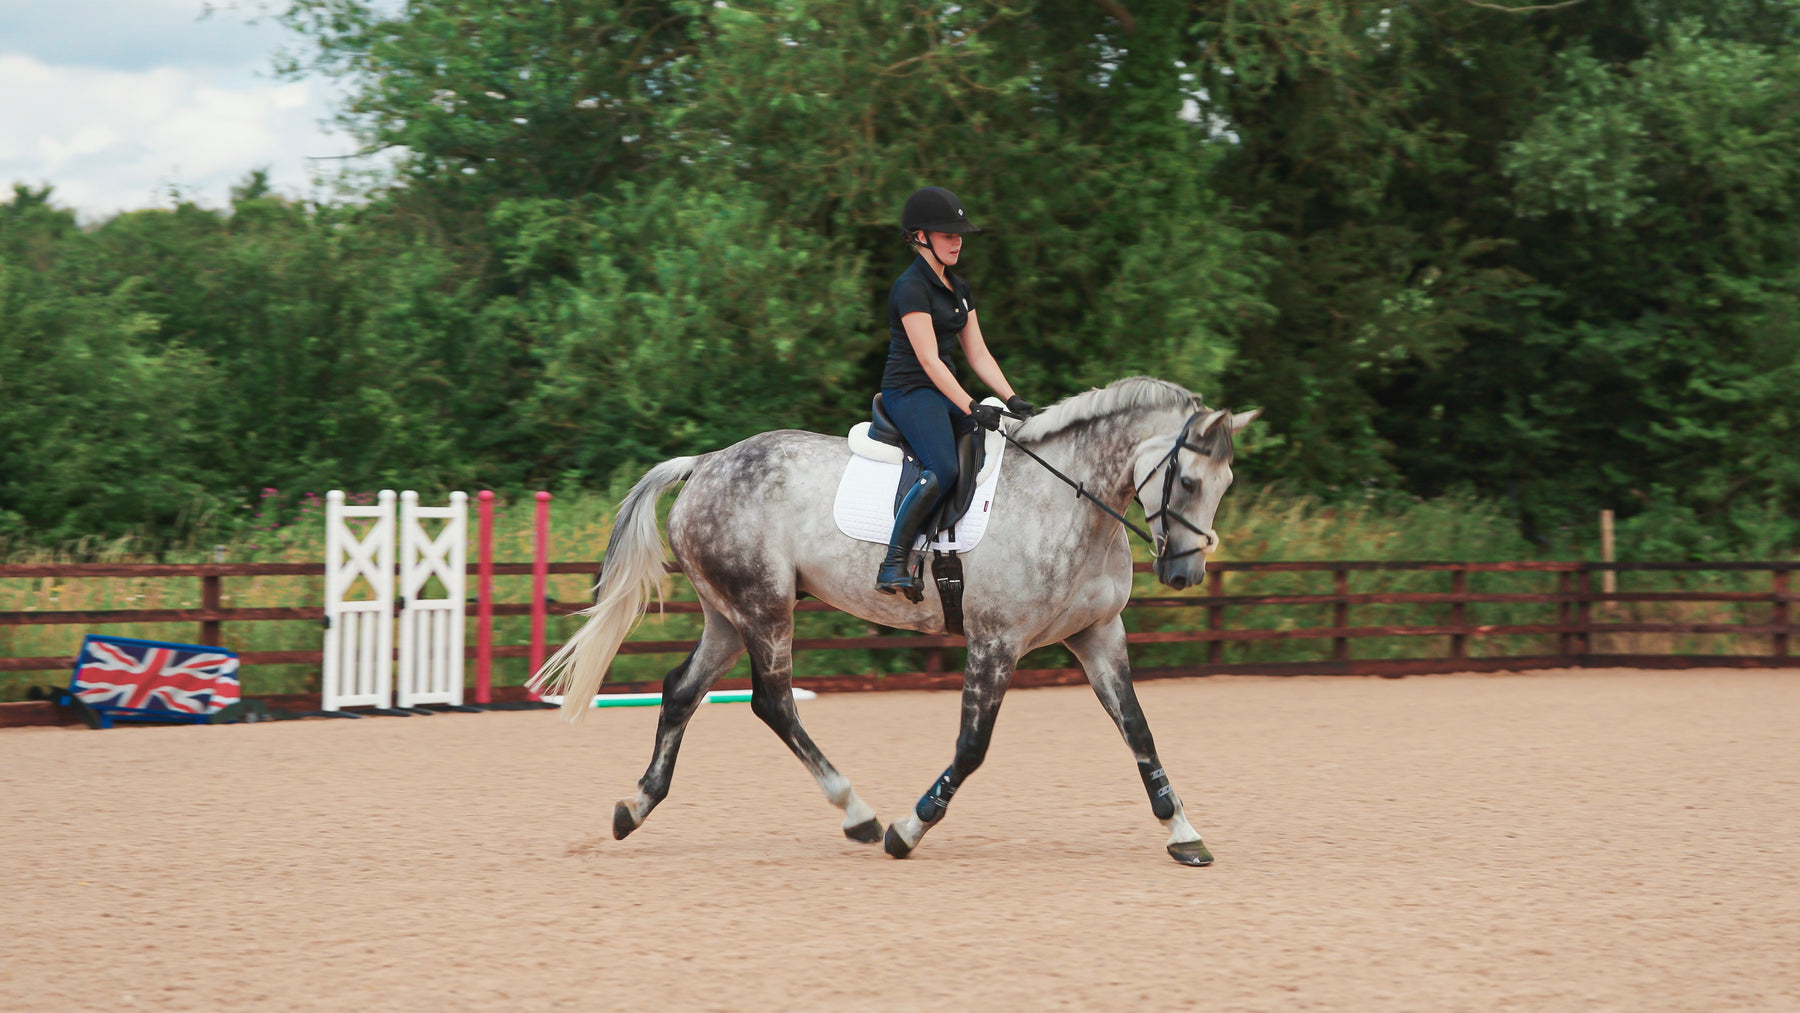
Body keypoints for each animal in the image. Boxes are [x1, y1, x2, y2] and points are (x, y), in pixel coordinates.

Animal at [531, 376, 1260, 865]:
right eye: (1189, 481)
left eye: (1224, 484)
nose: (1185, 575)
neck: (1068, 499)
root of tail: (706, 462)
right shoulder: (995, 642)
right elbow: (972, 746)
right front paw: (909, 828)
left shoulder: (1098, 635)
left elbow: (1138, 729)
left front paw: (1183, 832)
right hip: (764, 609)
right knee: (773, 702)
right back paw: (856, 812)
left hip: (729, 615)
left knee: (683, 690)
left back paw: (635, 806)